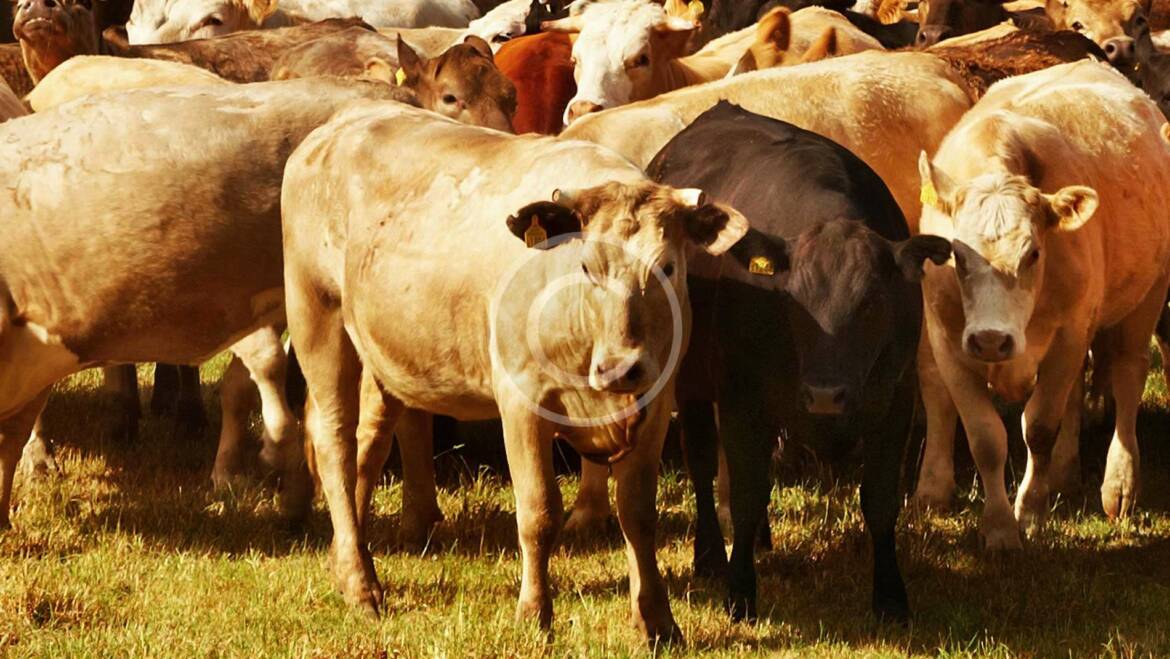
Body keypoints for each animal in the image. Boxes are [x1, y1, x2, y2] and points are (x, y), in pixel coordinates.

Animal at [281, 100, 748, 640]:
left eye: (668, 267)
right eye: (587, 267)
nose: (621, 367)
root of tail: (346, 119)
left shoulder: (656, 402)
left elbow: (637, 512)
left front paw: (656, 619)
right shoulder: (522, 402)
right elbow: (539, 512)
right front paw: (534, 613)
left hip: (384, 354)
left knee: (368, 442)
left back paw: (346, 561)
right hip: (317, 318)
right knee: (334, 442)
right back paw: (361, 585)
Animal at [640, 101, 950, 623]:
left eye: (871, 302)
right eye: (789, 299)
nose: (825, 395)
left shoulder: (896, 401)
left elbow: (880, 501)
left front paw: (890, 597)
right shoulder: (742, 397)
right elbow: (746, 493)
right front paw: (740, 591)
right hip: (692, 382)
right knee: (702, 461)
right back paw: (710, 555)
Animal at [914, 61, 1170, 549]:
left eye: (1033, 253)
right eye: (957, 255)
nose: (991, 340)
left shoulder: (1069, 334)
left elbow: (1039, 427)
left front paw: (1029, 514)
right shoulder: (946, 338)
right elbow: (985, 437)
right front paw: (999, 526)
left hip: (1147, 297)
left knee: (1128, 375)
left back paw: (1119, 484)